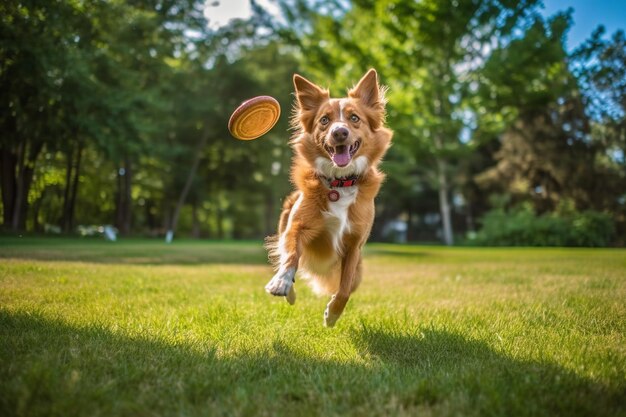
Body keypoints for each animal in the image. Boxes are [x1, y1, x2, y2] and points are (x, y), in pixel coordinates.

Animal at [262, 70, 390, 326]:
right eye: (324, 120)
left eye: (354, 118)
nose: (339, 132)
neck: (339, 182)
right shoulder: (297, 226)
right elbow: (290, 255)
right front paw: (281, 281)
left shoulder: (354, 245)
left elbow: (345, 288)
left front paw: (332, 315)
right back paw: (289, 291)